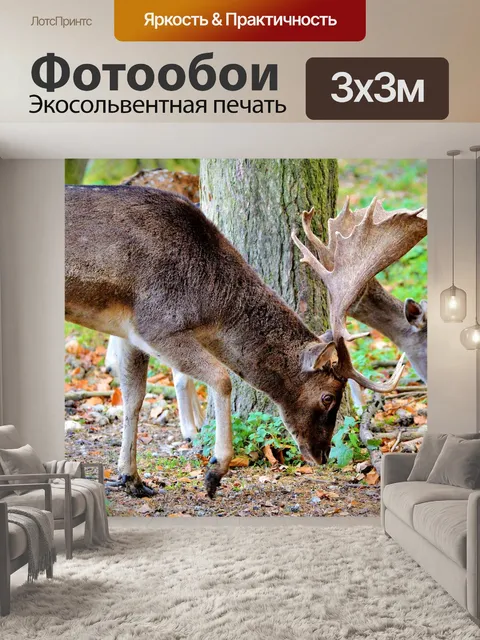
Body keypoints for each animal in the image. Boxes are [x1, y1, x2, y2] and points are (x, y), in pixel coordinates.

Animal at [65, 186, 424, 498]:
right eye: (327, 397)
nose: (321, 454)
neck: (208, 303)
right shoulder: (157, 325)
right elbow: (222, 378)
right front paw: (214, 471)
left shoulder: (128, 333)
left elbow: (133, 399)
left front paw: (132, 479)